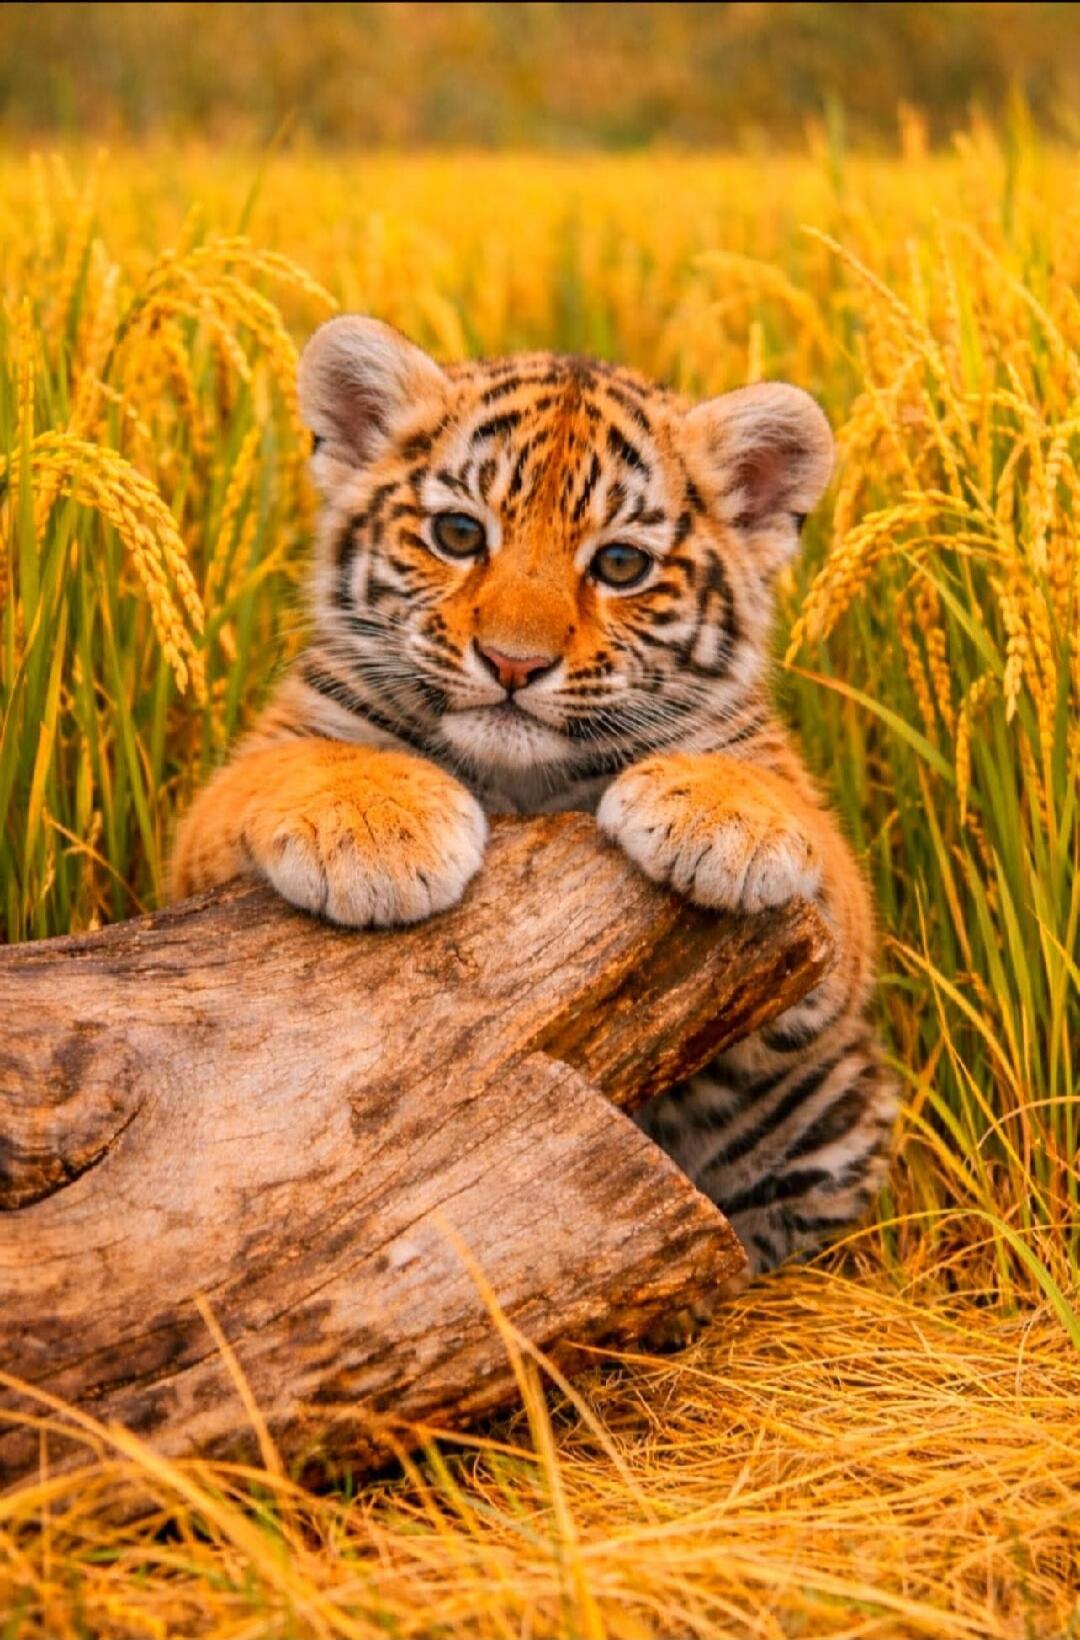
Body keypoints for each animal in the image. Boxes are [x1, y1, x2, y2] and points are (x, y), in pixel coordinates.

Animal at [171, 315, 896, 1282]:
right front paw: (377, 829)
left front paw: (723, 819)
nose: (514, 663)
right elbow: (294, 767)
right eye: (457, 534)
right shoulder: (236, 791)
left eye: (620, 564)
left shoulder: (833, 937)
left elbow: (813, 842)